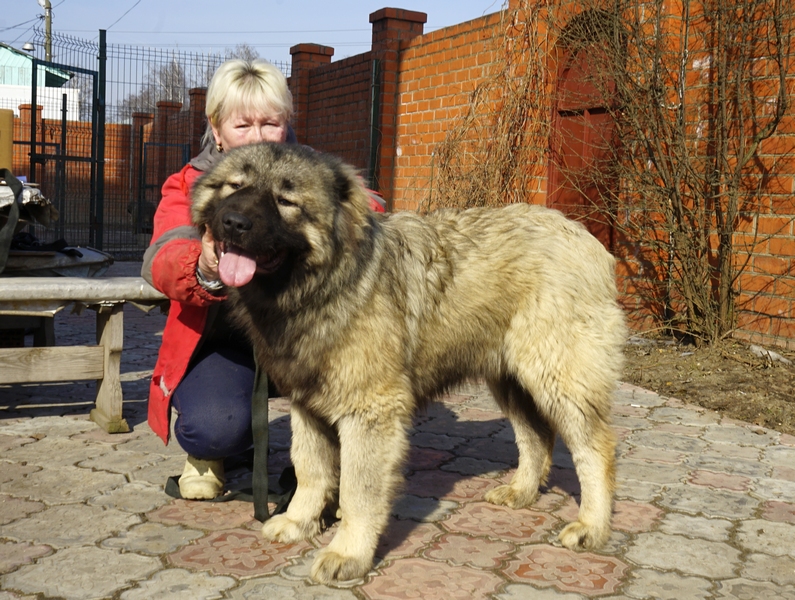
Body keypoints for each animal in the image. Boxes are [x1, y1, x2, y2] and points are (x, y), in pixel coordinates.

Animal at [193, 143, 628, 584]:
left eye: (286, 201)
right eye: (235, 185)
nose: (234, 222)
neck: (325, 284)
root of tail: (586, 238)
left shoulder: (370, 411)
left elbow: (358, 489)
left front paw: (348, 551)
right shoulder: (306, 406)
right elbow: (310, 469)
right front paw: (300, 522)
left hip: (556, 375)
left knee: (596, 448)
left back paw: (591, 526)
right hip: (510, 379)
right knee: (536, 436)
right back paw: (521, 491)